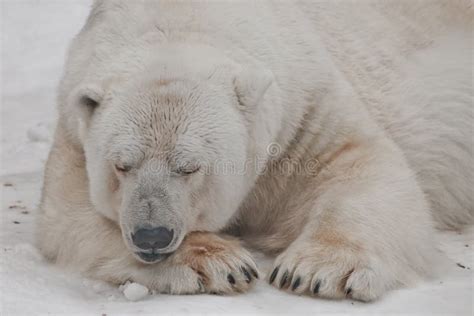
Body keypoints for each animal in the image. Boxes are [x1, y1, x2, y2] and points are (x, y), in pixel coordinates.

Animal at [36, 0, 470, 302]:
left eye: (189, 167)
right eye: (122, 165)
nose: (151, 235)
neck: (181, 19)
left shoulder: (304, 110)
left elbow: (361, 161)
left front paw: (315, 271)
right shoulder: (74, 131)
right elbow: (67, 213)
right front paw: (219, 262)